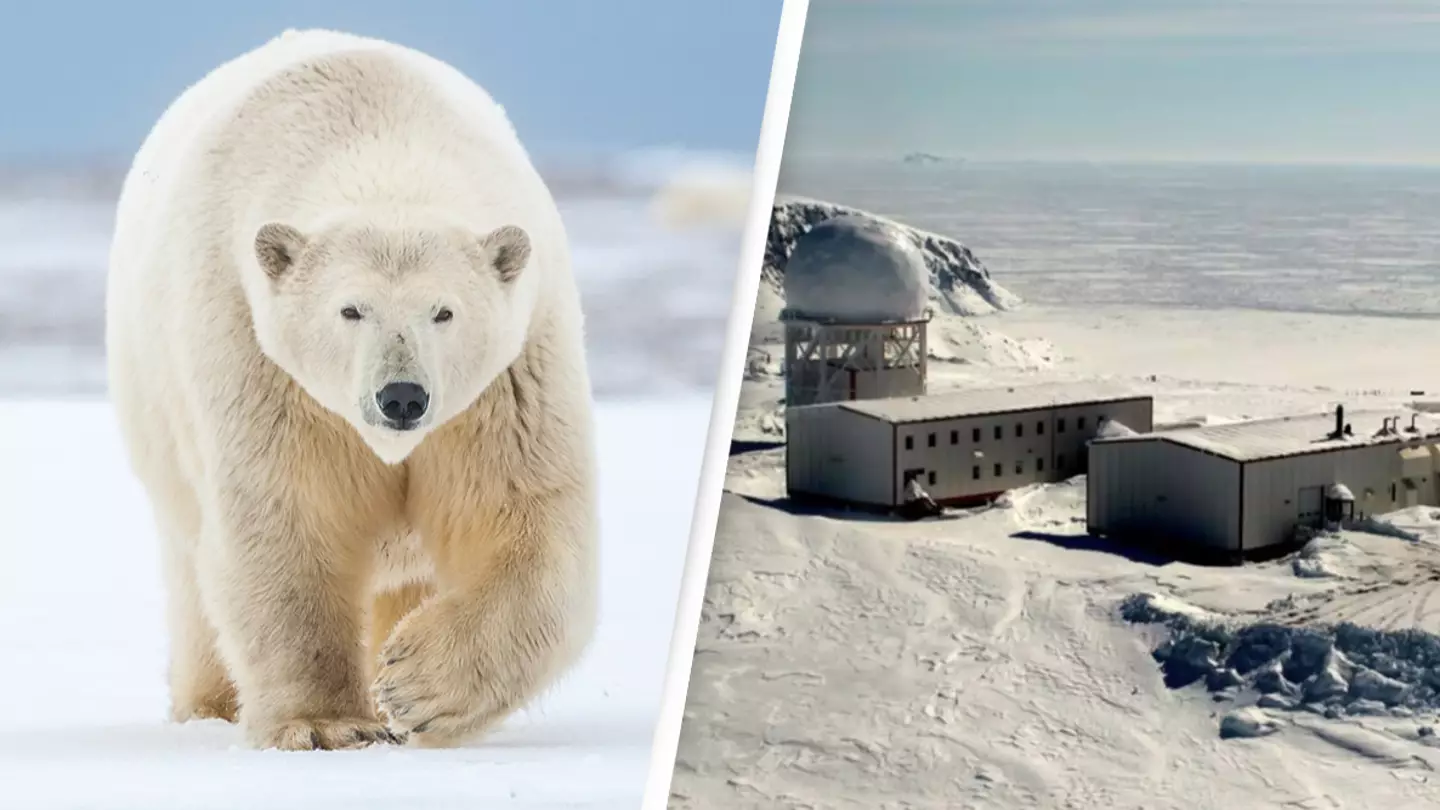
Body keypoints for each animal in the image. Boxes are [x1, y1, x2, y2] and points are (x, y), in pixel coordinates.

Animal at [104, 29, 598, 751]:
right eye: (350, 309)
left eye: (444, 311)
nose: (402, 397)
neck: (381, 136)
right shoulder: (257, 355)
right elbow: (288, 515)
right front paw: (324, 723)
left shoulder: (510, 378)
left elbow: (523, 513)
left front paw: (413, 686)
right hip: (160, 423)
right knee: (194, 577)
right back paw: (210, 706)